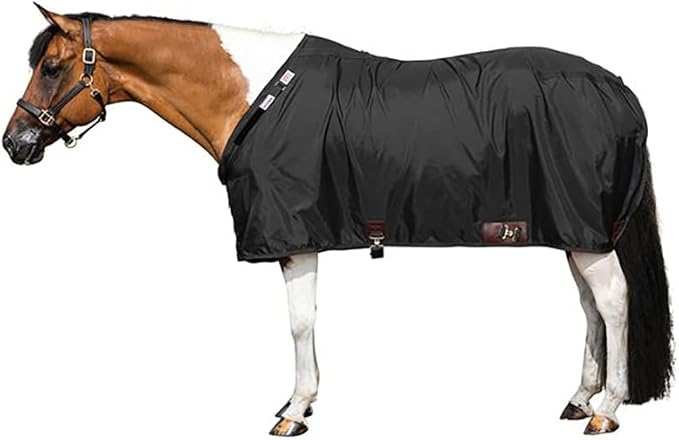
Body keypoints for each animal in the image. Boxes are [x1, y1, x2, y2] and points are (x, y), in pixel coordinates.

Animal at [2, 4, 672, 437]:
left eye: (52, 67)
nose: (15, 143)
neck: (253, 97)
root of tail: (618, 88)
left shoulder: (295, 238)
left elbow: (300, 324)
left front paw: (294, 411)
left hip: (587, 234)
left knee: (613, 302)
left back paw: (607, 408)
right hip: (575, 232)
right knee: (590, 306)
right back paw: (579, 399)